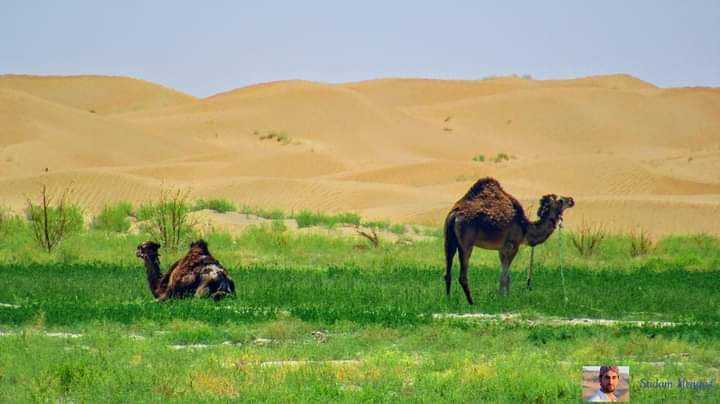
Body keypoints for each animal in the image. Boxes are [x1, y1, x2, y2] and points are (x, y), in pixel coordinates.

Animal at [444, 177, 572, 304]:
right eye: (560, 200)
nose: (571, 200)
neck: (525, 228)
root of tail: (454, 214)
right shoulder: (513, 245)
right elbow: (504, 277)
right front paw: (502, 299)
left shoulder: (502, 249)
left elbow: (506, 275)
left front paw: (506, 297)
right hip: (466, 243)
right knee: (463, 275)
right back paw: (471, 302)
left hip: (449, 240)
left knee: (447, 272)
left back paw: (448, 300)